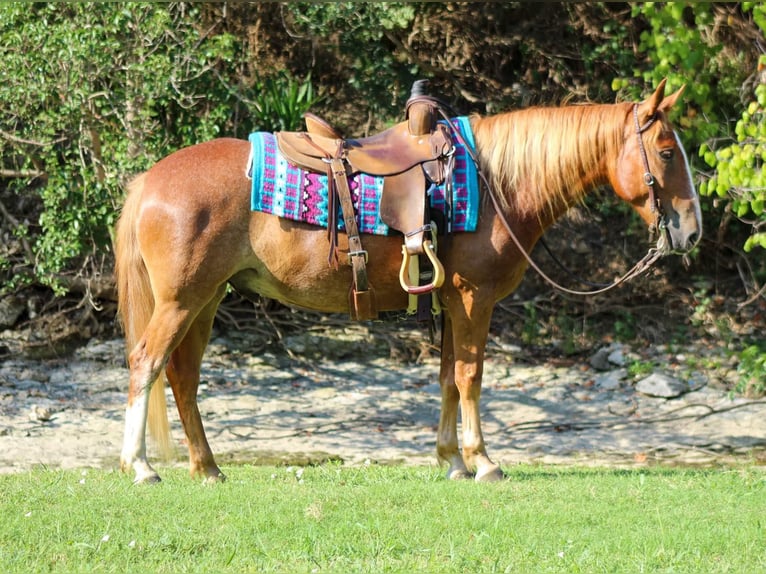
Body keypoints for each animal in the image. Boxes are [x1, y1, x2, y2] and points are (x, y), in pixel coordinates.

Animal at [112, 80, 704, 486]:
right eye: (666, 152)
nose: (691, 231)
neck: (496, 185)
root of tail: (150, 179)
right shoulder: (474, 298)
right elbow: (470, 377)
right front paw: (483, 462)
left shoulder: (450, 302)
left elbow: (446, 378)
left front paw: (452, 461)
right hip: (182, 301)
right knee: (147, 364)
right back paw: (140, 467)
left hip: (206, 299)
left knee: (183, 378)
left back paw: (207, 468)